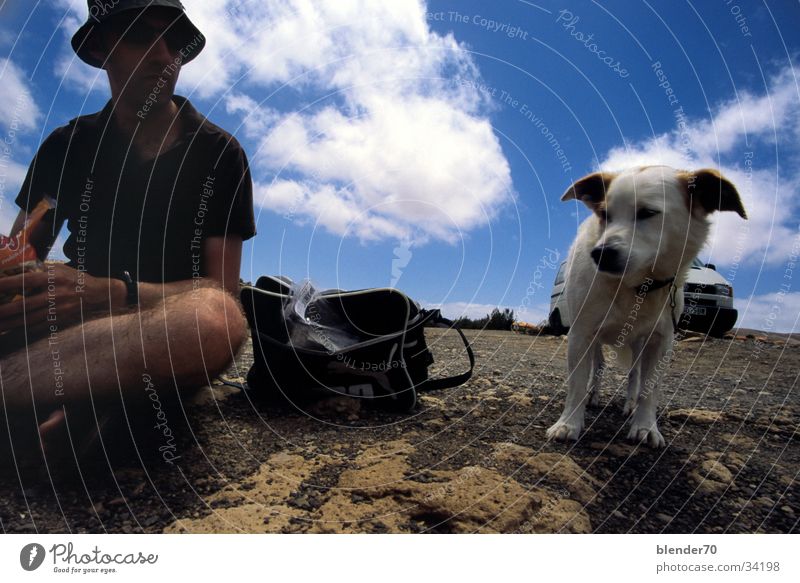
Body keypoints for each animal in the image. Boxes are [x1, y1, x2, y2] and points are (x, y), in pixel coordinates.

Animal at [548, 167, 748, 450]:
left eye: (648, 212)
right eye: (604, 215)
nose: (600, 253)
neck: (636, 286)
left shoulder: (661, 340)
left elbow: (649, 389)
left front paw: (645, 427)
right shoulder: (581, 333)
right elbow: (577, 382)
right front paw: (568, 424)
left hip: (638, 344)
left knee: (635, 374)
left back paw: (630, 404)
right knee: (598, 367)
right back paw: (592, 395)